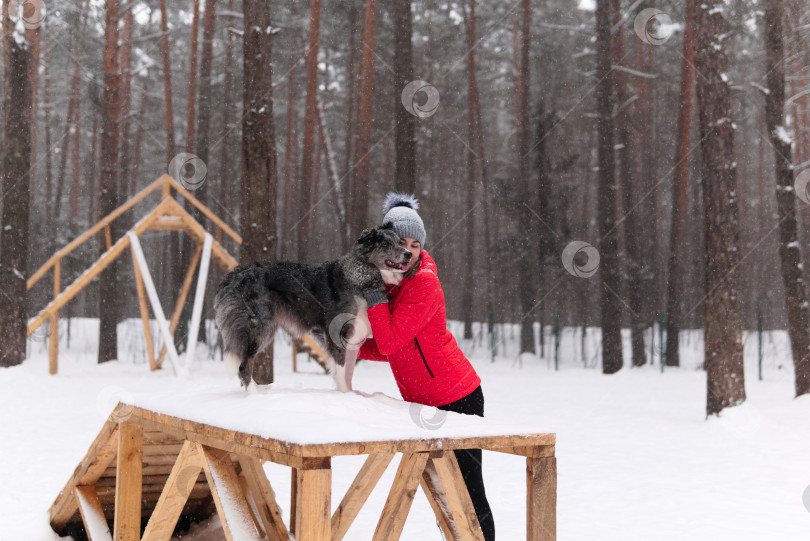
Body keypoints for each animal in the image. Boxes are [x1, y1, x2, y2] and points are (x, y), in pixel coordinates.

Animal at [213, 221, 410, 390]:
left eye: (400, 242)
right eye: (385, 245)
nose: (408, 253)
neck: (362, 277)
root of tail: (235, 275)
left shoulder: (354, 337)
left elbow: (347, 374)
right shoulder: (337, 334)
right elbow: (341, 372)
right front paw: (345, 396)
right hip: (260, 327)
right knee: (244, 365)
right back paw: (255, 394)